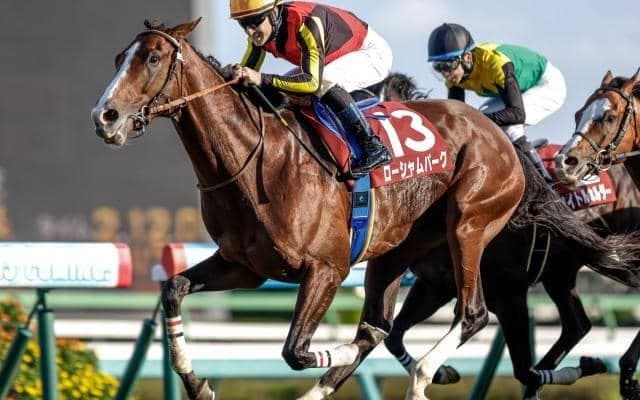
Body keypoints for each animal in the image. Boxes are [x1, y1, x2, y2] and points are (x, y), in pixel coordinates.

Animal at [91, 19, 533, 400]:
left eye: (152, 58)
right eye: (117, 59)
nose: (104, 116)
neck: (257, 161)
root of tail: (497, 134)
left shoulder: (327, 268)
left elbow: (296, 350)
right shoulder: (244, 267)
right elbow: (173, 289)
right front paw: (197, 383)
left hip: (469, 223)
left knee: (471, 313)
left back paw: (424, 373)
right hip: (394, 250)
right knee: (380, 324)